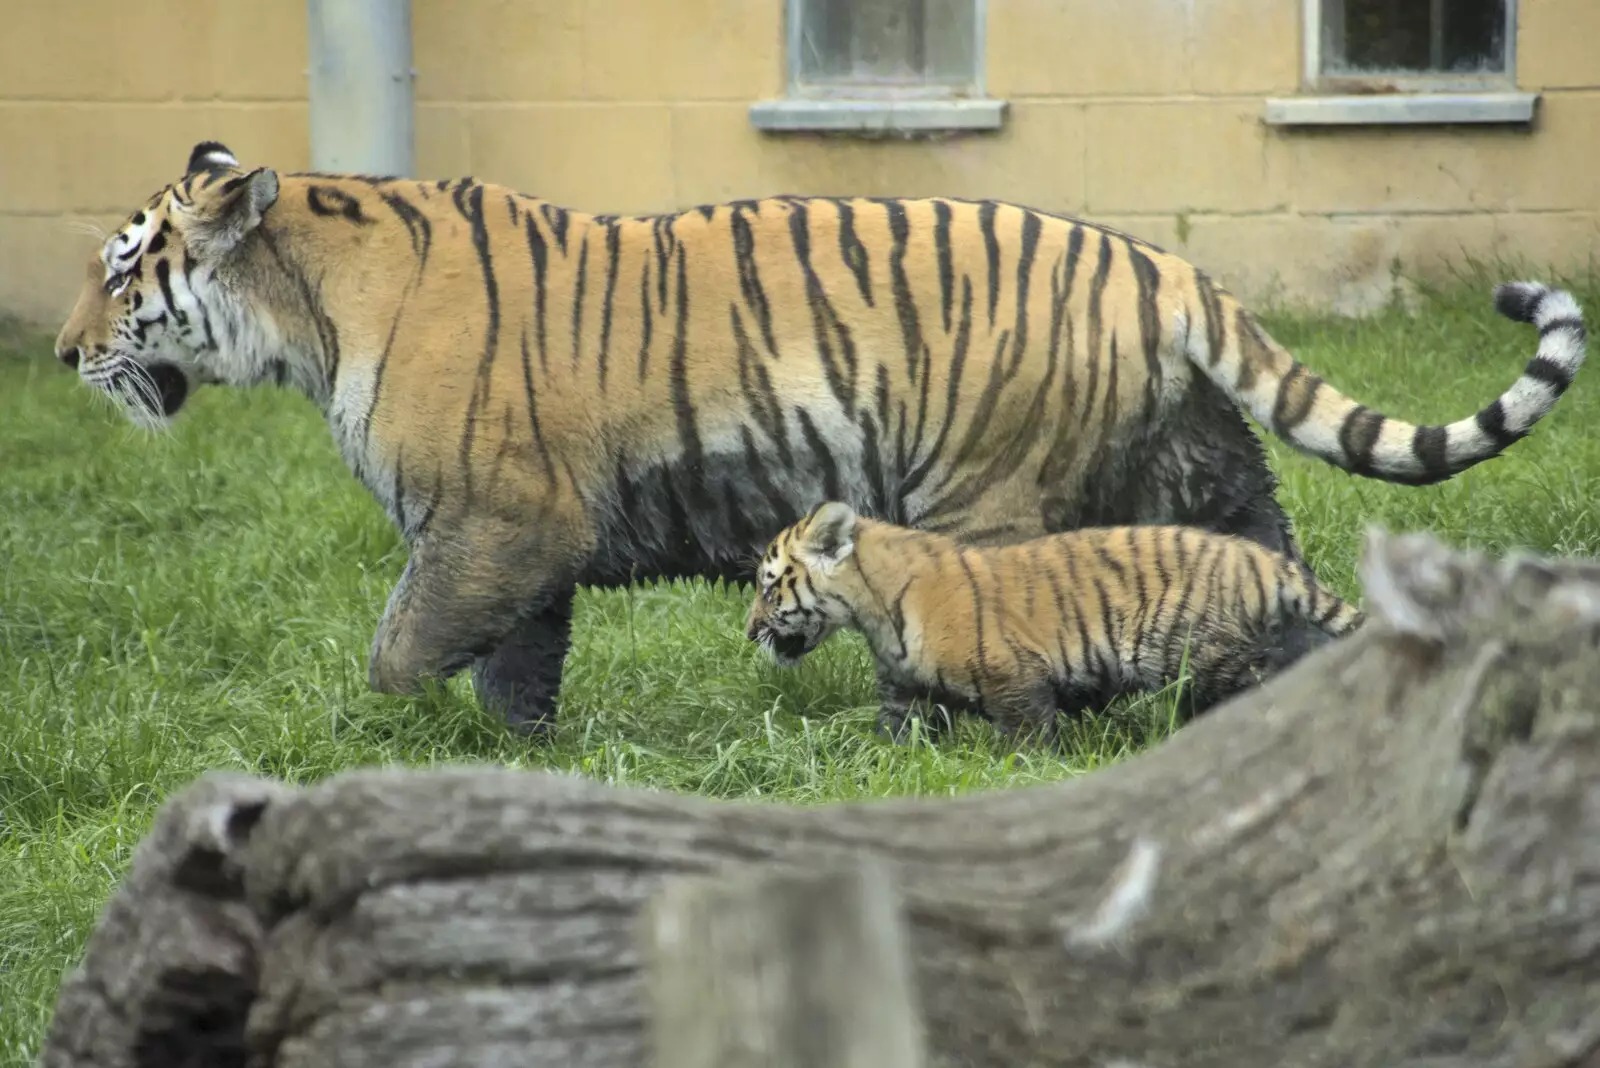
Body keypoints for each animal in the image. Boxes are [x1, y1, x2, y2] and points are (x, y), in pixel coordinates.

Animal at [53, 141, 1587, 735]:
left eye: (124, 274)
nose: (63, 354)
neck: (305, 312)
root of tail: (1168, 269)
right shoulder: (517, 541)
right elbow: (514, 669)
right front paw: (510, 757)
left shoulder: (493, 521)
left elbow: (404, 647)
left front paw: (381, 748)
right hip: (1204, 477)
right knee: (1274, 585)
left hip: (984, 492)